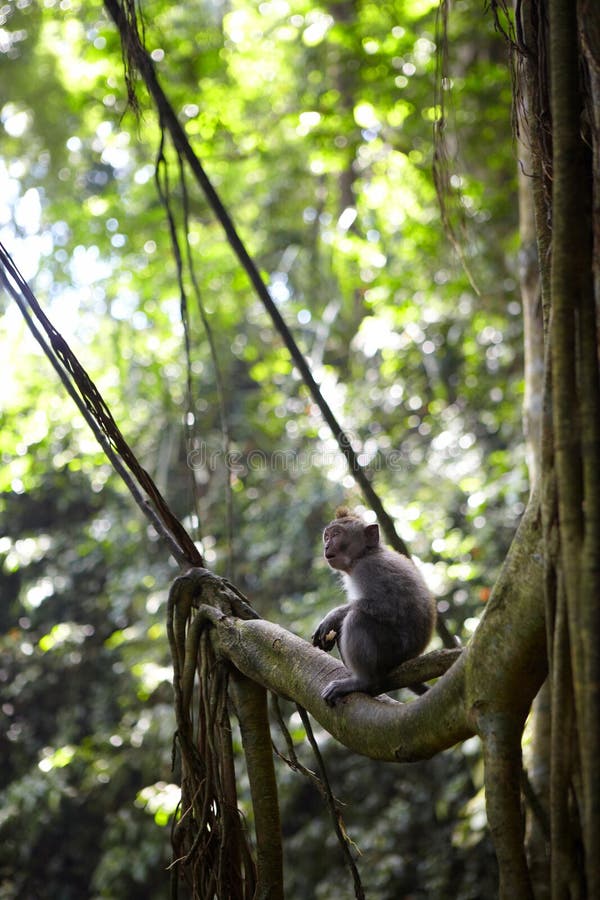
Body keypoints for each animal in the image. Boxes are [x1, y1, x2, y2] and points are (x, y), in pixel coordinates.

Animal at [312, 506, 434, 704]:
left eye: (337, 534)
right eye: (327, 536)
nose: (326, 546)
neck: (364, 555)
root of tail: (410, 657)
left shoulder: (370, 569)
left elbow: (387, 606)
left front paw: (332, 616)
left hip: (393, 651)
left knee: (357, 618)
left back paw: (363, 681)